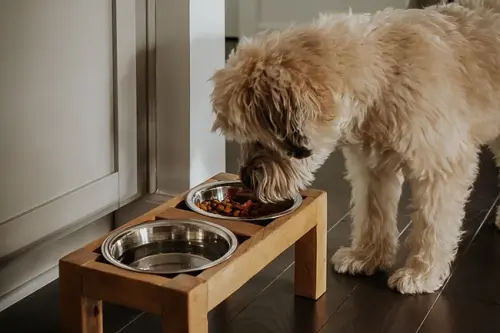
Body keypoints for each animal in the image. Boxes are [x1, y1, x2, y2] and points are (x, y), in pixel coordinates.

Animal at [209, 0, 500, 294]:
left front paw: (421, 274)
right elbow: (373, 213)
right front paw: (366, 257)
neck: (383, 75)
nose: (246, 179)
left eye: (258, 139)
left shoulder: (440, 168)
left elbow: (433, 225)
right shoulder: (372, 166)